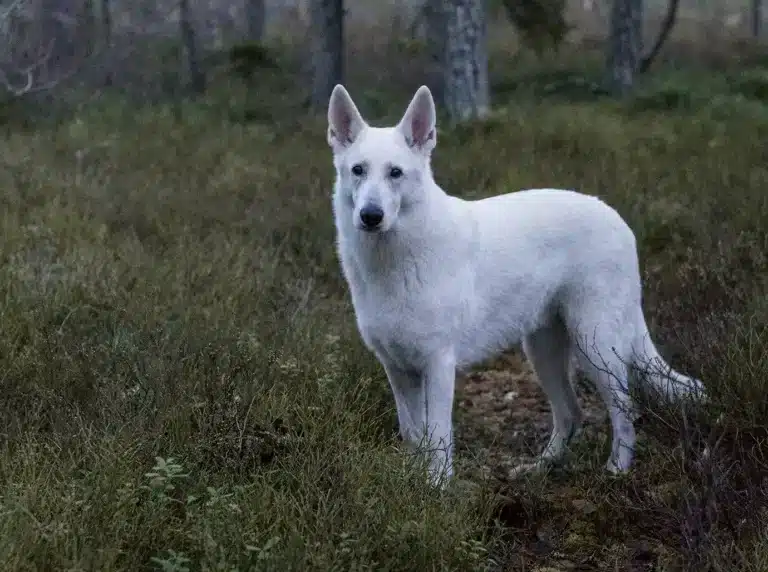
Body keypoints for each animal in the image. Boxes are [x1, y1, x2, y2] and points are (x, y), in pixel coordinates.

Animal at [328, 85, 704, 488]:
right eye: (358, 170)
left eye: (395, 173)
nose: (371, 216)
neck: (392, 261)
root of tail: (617, 217)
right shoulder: (398, 371)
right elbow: (413, 437)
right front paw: (413, 489)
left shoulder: (438, 365)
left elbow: (438, 438)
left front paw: (437, 491)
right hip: (542, 352)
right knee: (571, 414)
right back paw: (540, 468)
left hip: (596, 346)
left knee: (624, 411)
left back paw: (616, 470)